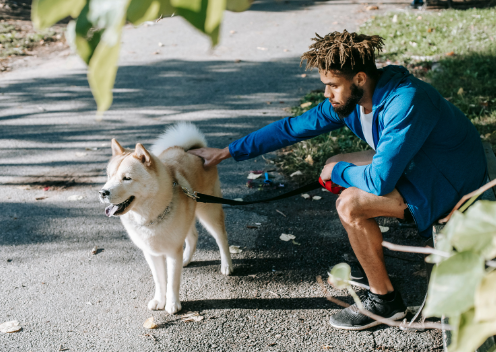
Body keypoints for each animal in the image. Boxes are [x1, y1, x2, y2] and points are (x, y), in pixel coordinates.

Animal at [100, 123, 234, 314]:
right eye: (109, 176)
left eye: (127, 178)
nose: (102, 192)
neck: (150, 217)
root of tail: (190, 149)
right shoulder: (151, 253)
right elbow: (160, 280)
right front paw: (159, 300)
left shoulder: (172, 252)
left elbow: (172, 282)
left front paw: (172, 304)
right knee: (193, 237)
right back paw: (186, 259)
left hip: (209, 212)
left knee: (221, 238)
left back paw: (226, 265)